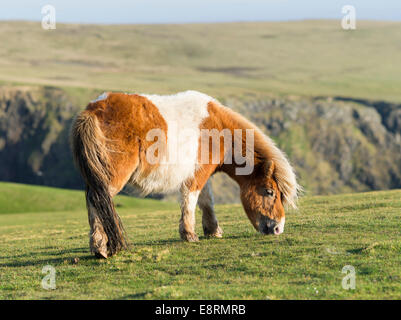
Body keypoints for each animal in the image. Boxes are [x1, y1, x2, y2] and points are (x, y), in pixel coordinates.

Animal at [70, 90, 298, 258]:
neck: (218, 130)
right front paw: (189, 234)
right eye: (270, 192)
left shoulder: (202, 173)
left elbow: (207, 201)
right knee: (98, 200)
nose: (277, 228)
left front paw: (213, 231)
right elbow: (191, 200)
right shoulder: (197, 175)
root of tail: (93, 110)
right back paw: (100, 247)